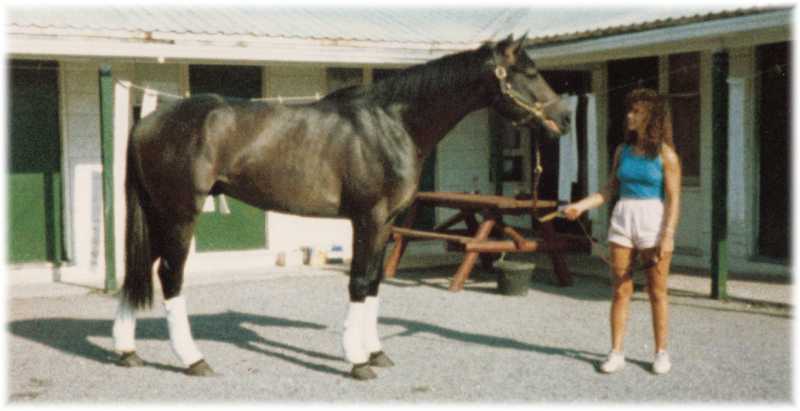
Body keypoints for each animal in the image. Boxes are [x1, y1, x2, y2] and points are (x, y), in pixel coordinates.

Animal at [112, 33, 572, 382]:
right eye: (529, 72)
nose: (565, 118)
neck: (391, 123)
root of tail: (147, 121)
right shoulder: (367, 218)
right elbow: (358, 283)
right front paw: (357, 361)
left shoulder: (387, 223)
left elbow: (374, 283)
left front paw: (376, 353)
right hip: (179, 215)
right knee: (170, 277)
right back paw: (193, 359)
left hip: (160, 216)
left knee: (140, 270)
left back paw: (127, 351)